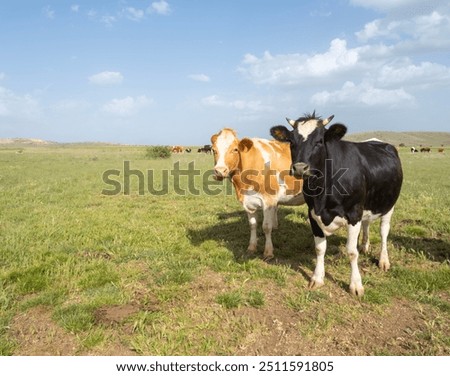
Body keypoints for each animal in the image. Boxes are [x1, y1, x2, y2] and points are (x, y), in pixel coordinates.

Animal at [212, 128, 304, 260]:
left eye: (235, 149)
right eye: (213, 150)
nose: (219, 171)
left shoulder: (269, 201)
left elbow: (266, 227)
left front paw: (268, 252)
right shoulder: (248, 202)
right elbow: (252, 225)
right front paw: (251, 247)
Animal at [270, 112, 404, 296]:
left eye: (319, 141)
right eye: (291, 141)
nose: (300, 168)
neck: (323, 192)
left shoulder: (353, 213)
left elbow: (351, 252)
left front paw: (356, 285)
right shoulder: (313, 213)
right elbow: (320, 248)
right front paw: (317, 278)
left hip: (389, 205)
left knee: (384, 231)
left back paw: (383, 260)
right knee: (367, 224)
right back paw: (365, 246)